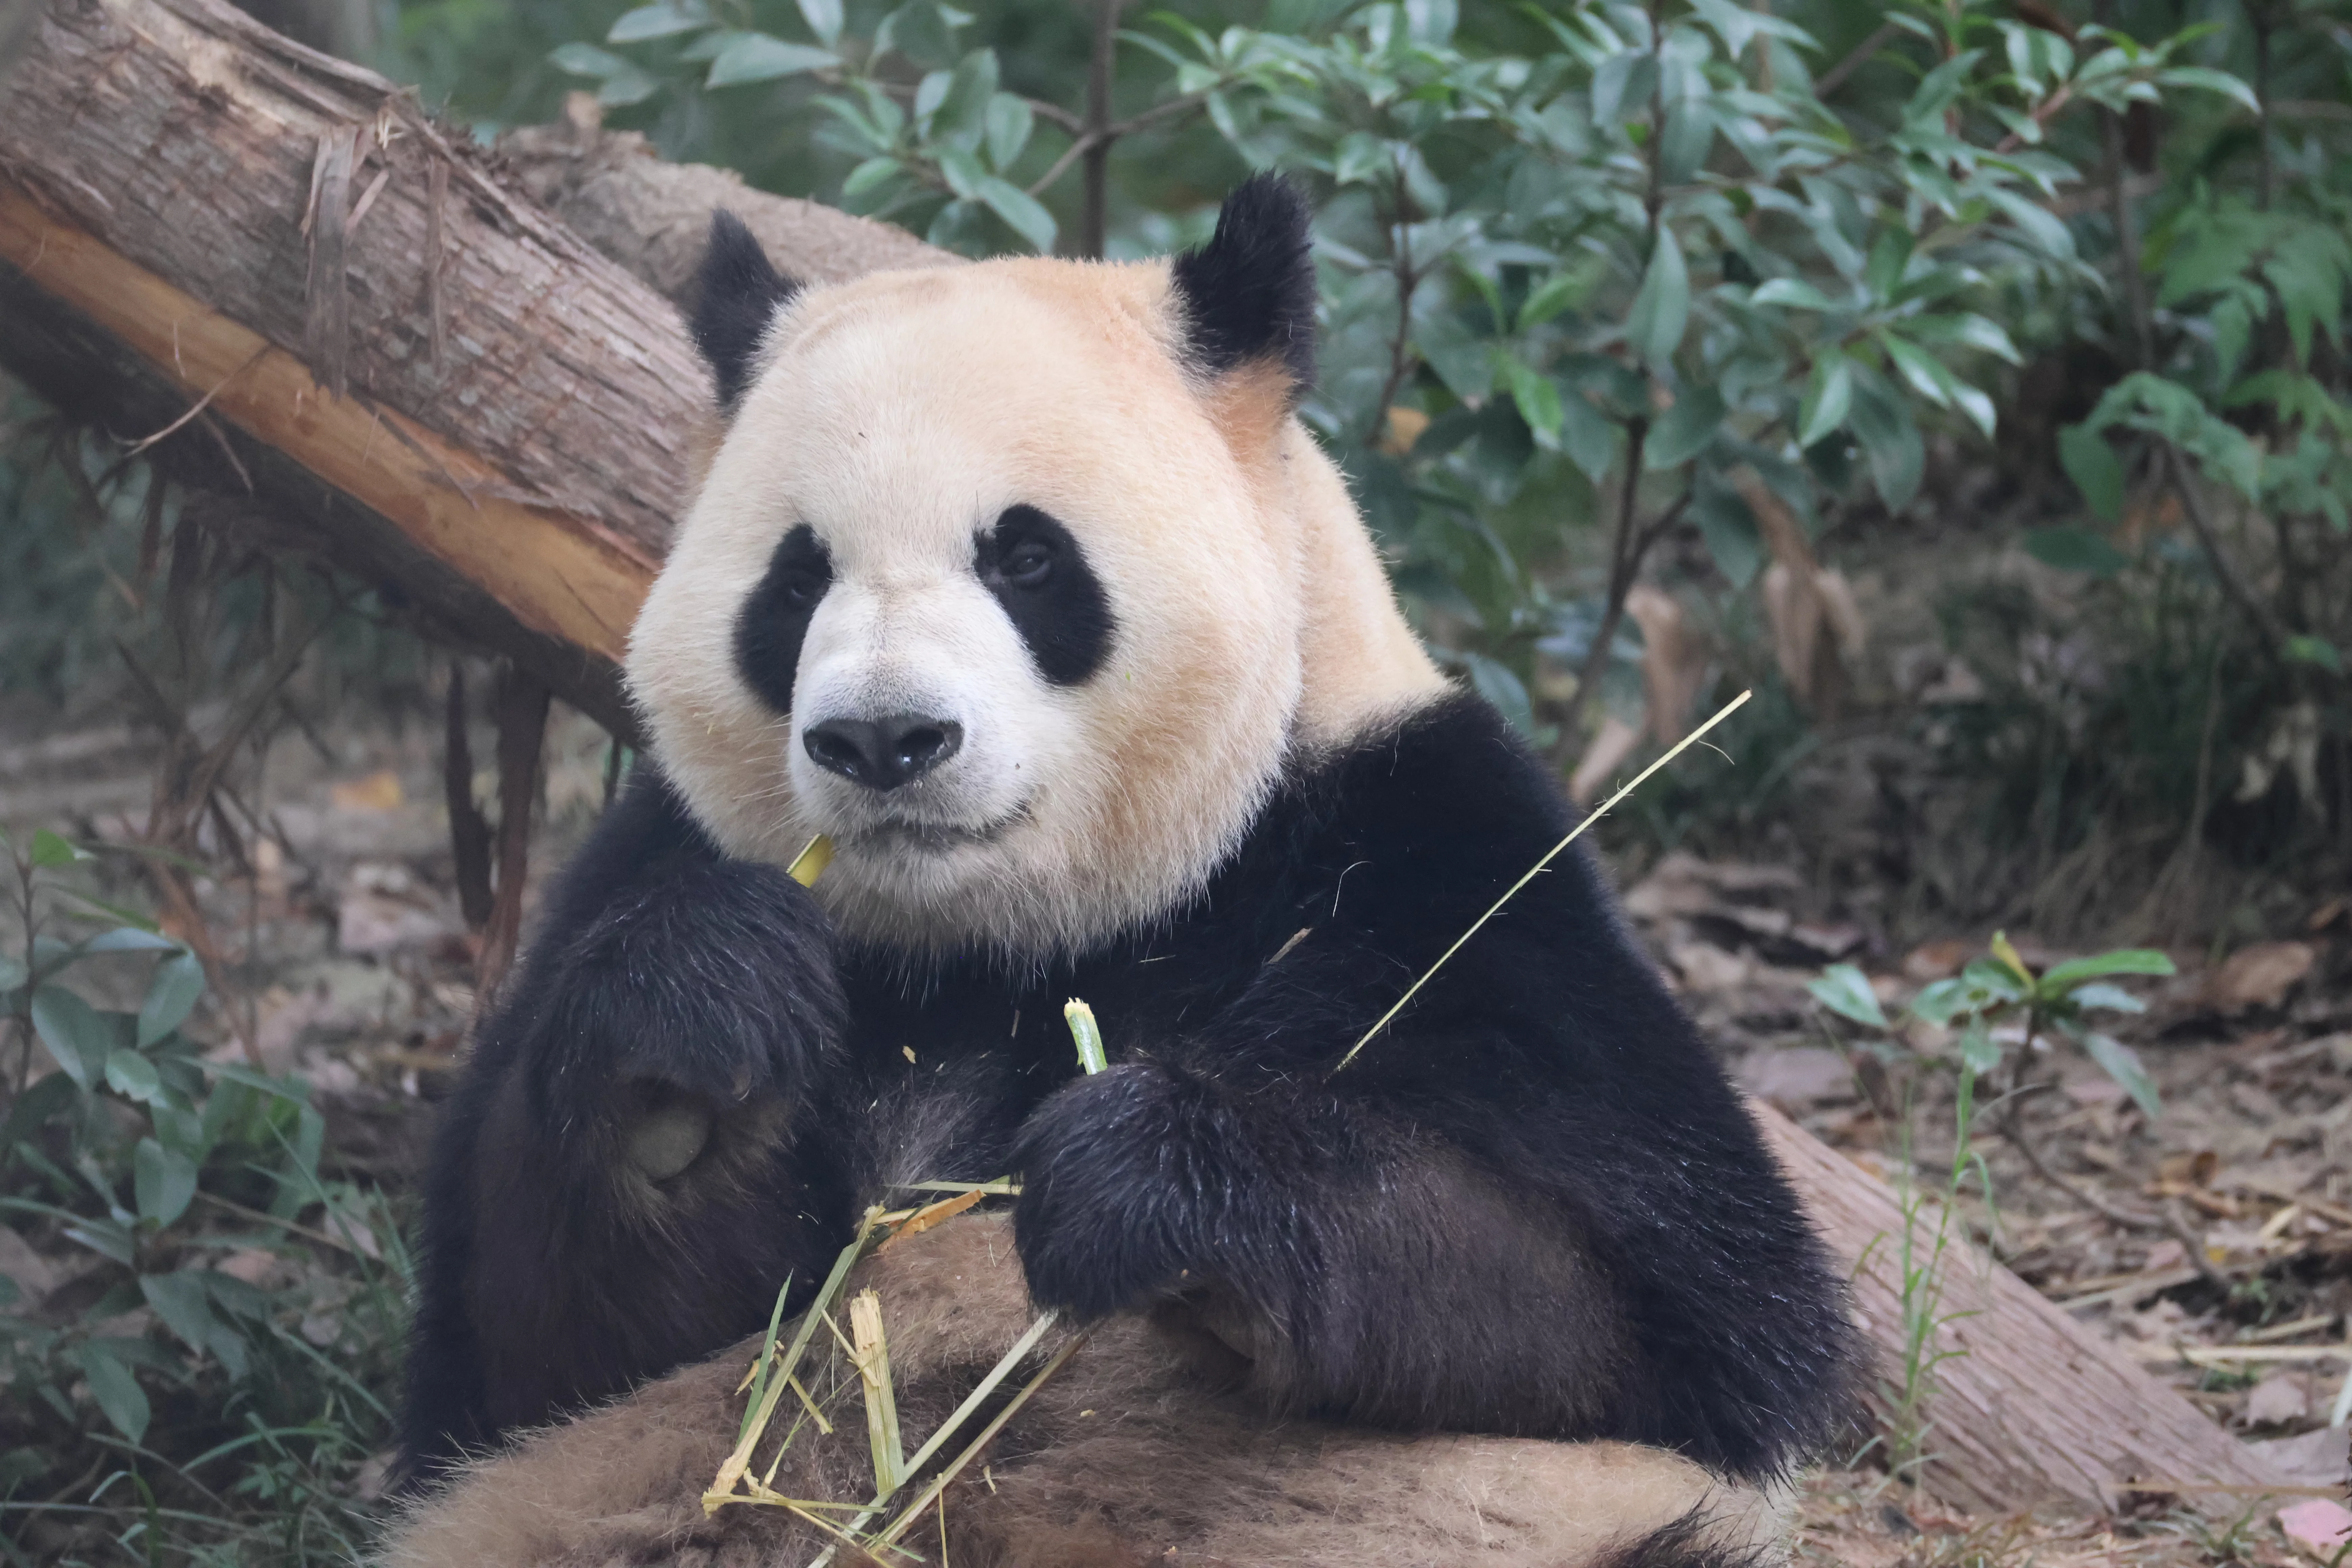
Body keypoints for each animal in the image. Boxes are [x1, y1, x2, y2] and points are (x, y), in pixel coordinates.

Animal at [390, 174, 1858, 1566]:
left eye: (1027, 556)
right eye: (796, 582)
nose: (884, 740)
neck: (1005, 947)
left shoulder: (1430, 857)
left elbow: (1681, 1317)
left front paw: (1149, 1184)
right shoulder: (656, 858)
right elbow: (525, 1359)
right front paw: (690, 1048)